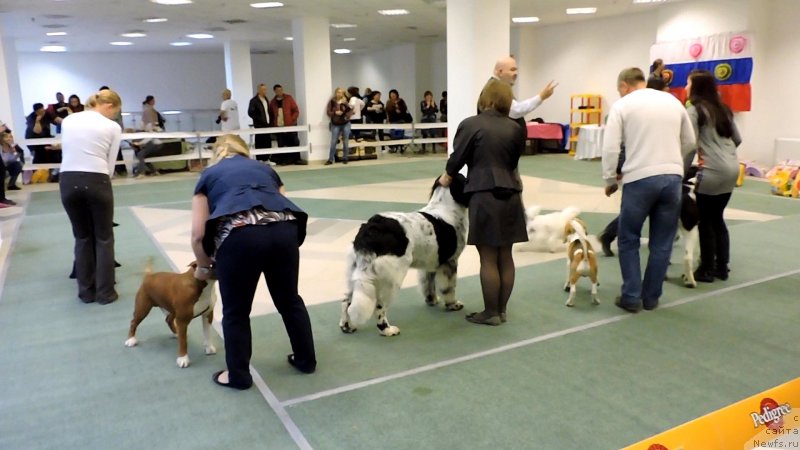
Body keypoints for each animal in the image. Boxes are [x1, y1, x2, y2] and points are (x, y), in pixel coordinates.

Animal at [340, 174, 472, 336]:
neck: (446, 207)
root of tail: (371, 229)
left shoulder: (431, 263)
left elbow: (428, 283)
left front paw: (431, 300)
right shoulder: (450, 262)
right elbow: (449, 288)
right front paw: (453, 305)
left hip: (358, 271)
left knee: (347, 301)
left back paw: (347, 326)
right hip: (392, 276)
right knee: (379, 306)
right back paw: (388, 330)